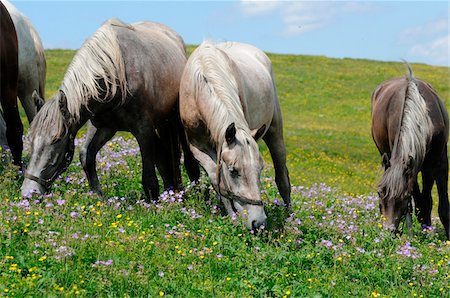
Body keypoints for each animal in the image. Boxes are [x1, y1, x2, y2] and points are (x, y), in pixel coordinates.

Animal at [20, 19, 197, 201]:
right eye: (30, 139)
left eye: (56, 140)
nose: (28, 193)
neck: (115, 77)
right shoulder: (104, 127)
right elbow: (86, 156)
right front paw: (100, 197)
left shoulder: (143, 130)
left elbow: (149, 178)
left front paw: (154, 203)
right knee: (165, 158)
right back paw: (173, 191)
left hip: (176, 122)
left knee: (185, 157)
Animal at [180, 40, 292, 229]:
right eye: (233, 171)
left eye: (260, 169)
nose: (258, 222)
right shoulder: (197, 147)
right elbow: (216, 180)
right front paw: (231, 214)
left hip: (275, 130)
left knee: (282, 179)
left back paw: (290, 218)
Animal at [370, 64, 448, 239]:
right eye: (379, 193)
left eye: (404, 197)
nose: (389, 232)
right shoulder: (411, 166)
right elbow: (419, 202)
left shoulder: (438, 162)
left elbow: (440, 204)